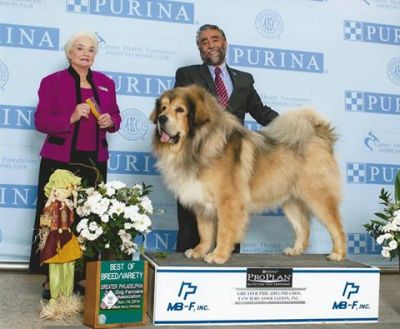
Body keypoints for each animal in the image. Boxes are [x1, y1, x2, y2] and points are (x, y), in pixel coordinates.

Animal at [152, 85, 346, 264]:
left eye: (180, 109)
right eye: (163, 108)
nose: (161, 119)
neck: (198, 145)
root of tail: (320, 135)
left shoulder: (227, 201)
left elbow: (224, 231)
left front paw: (218, 255)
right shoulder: (201, 202)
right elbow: (205, 232)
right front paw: (200, 251)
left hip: (318, 197)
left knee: (336, 226)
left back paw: (338, 253)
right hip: (291, 201)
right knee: (303, 228)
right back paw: (295, 250)